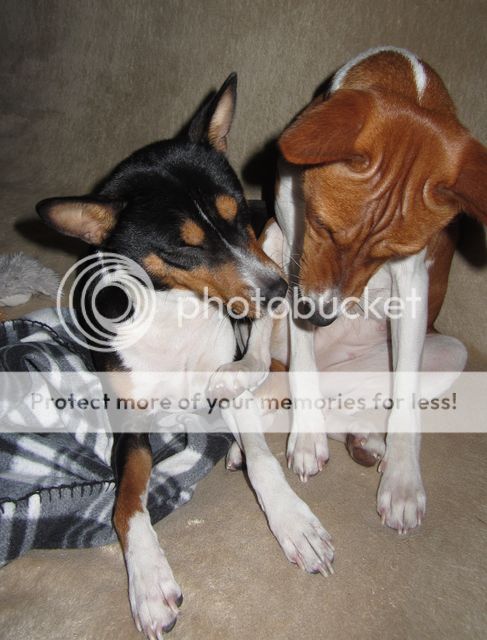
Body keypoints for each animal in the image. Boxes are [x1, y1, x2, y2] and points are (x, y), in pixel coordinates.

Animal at [36, 74, 334, 638]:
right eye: (184, 249)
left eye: (237, 215)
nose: (278, 292)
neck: (178, 311)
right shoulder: (130, 419)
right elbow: (126, 505)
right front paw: (149, 582)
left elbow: (264, 460)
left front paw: (293, 522)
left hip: (276, 247)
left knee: (271, 367)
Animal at [228, 47, 487, 536]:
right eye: (322, 225)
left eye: (389, 253)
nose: (321, 316)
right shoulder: (295, 240)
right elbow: (303, 357)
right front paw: (306, 436)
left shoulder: (412, 277)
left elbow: (404, 394)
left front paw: (403, 480)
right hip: (269, 241)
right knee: (270, 361)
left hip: (446, 353)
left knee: (347, 398)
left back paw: (364, 438)